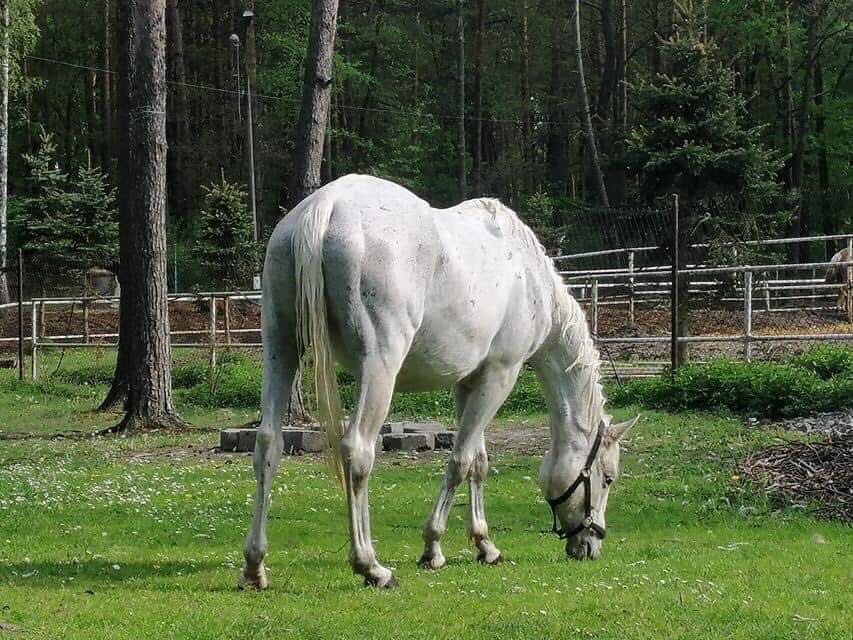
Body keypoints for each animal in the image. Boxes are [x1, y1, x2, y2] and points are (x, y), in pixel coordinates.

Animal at [243, 175, 636, 592]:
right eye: (608, 478)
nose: (591, 544)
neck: (528, 277)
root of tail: (326, 205)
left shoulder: (469, 383)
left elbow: (479, 461)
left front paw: (485, 545)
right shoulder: (501, 374)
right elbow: (459, 461)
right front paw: (432, 548)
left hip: (281, 349)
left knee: (268, 445)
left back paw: (255, 566)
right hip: (380, 365)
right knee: (357, 451)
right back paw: (371, 566)